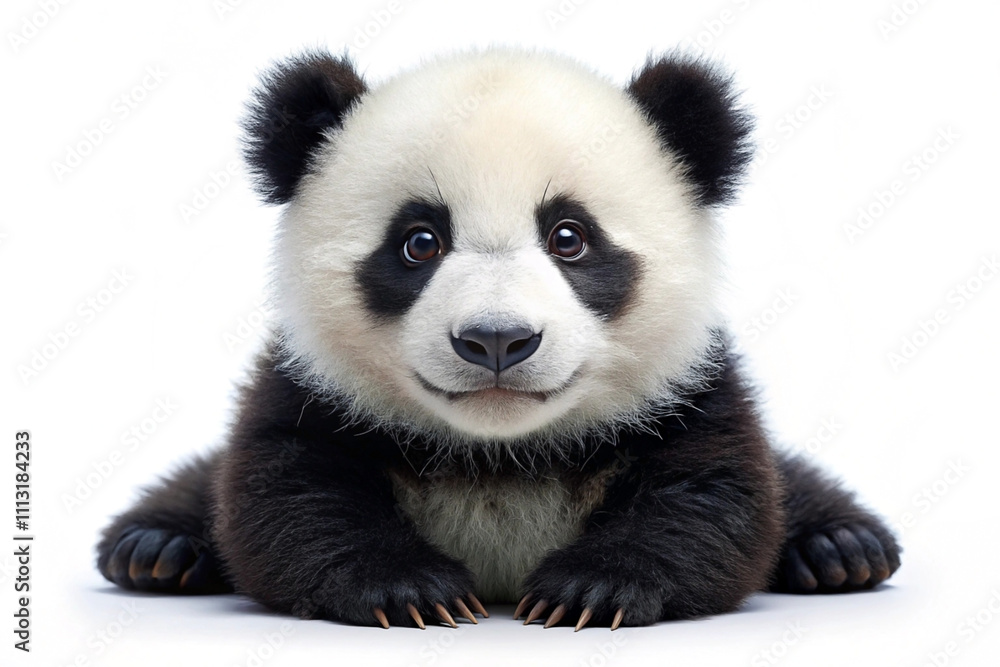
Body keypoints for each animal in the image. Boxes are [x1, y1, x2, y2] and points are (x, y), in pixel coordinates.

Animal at [97, 47, 900, 630]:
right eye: (419, 241)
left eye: (570, 237)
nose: (496, 340)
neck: (498, 451)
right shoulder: (309, 387)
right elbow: (284, 500)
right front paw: (412, 588)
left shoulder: (689, 387)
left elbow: (717, 502)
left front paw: (591, 589)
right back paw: (157, 546)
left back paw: (839, 548)